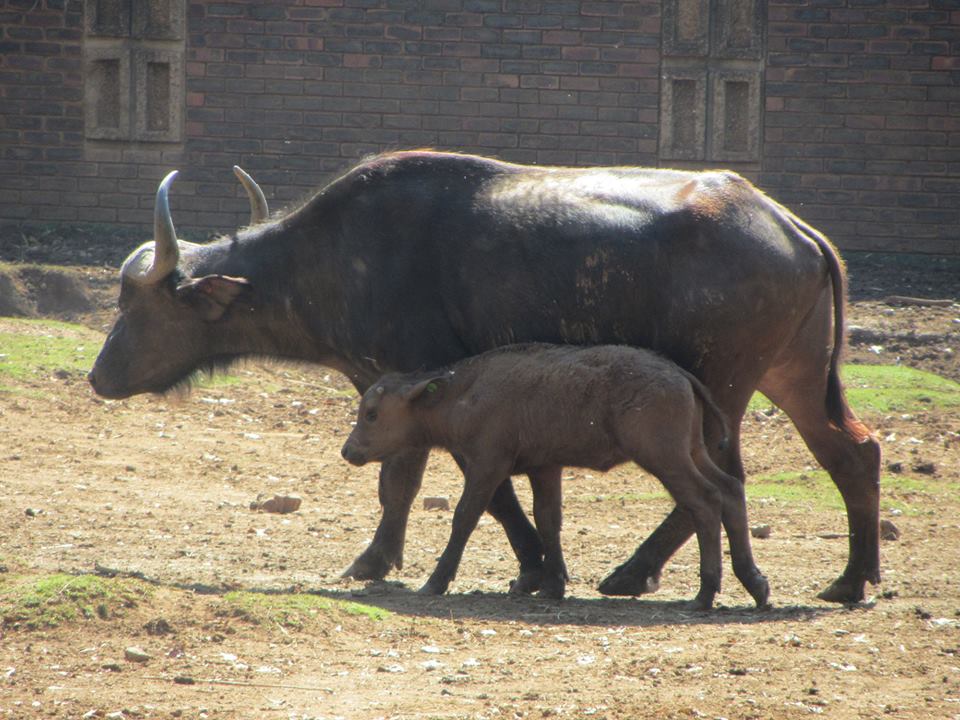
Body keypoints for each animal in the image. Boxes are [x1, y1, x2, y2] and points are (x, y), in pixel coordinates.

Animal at [341, 343, 771, 610]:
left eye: (372, 414)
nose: (348, 451)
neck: (466, 393)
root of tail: (681, 376)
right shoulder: (544, 468)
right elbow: (549, 520)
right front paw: (551, 586)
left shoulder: (487, 465)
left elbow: (465, 517)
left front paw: (436, 581)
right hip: (693, 452)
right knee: (731, 490)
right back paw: (755, 583)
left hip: (666, 458)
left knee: (705, 501)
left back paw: (706, 592)